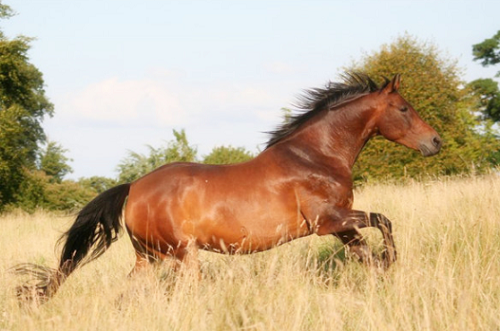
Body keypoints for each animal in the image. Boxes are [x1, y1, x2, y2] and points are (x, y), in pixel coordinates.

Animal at [14, 72, 442, 304]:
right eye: (404, 109)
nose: (435, 142)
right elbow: (384, 221)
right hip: (183, 256)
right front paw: (392, 262)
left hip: (149, 258)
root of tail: (133, 188)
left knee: (127, 295)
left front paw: (384, 274)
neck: (316, 156)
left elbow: (367, 254)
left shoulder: (340, 227)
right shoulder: (328, 221)